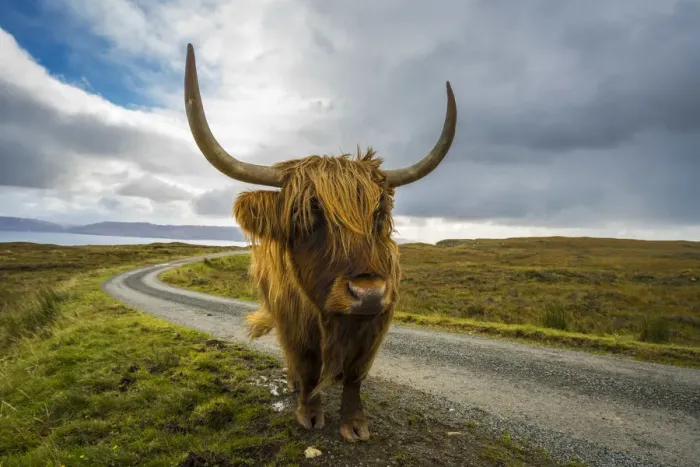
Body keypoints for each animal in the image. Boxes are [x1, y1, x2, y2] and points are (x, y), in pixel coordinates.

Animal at [183, 43, 457, 442]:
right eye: (309, 216)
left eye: (379, 215)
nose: (367, 293)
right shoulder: (294, 321)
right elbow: (308, 365)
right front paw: (309, 414)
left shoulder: (374, 325)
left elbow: (355, 375)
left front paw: (355, 424)